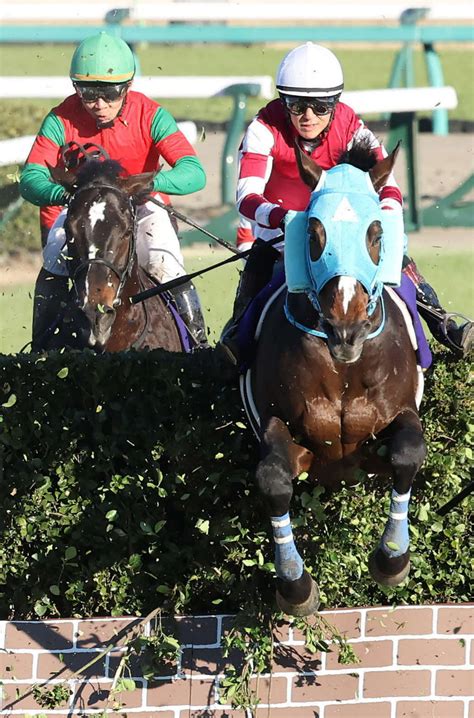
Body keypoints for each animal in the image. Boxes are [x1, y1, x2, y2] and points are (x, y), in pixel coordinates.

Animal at [241, 141, 430, 620]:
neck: (344, 367)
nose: (346, 330)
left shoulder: (398, 416)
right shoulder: (282, 426)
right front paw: (295, 585)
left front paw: (391, 560)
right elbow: (273, 478)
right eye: (313, 233)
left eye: (375, 233)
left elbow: (407, 453)